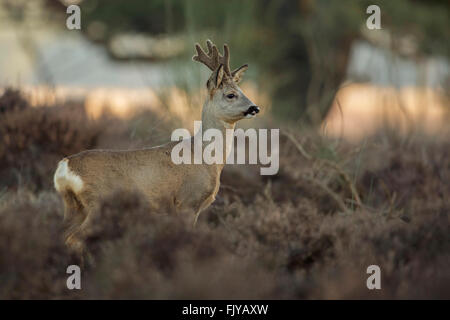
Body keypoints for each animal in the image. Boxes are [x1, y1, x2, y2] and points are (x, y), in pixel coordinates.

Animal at [53, 40, 260, 251]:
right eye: (230, 95)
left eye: (242, 91)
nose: (255, 108)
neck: (205, 157)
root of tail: (65, 166)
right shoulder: (187, 201)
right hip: (96, 203)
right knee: (74, 239)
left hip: (73, 206)